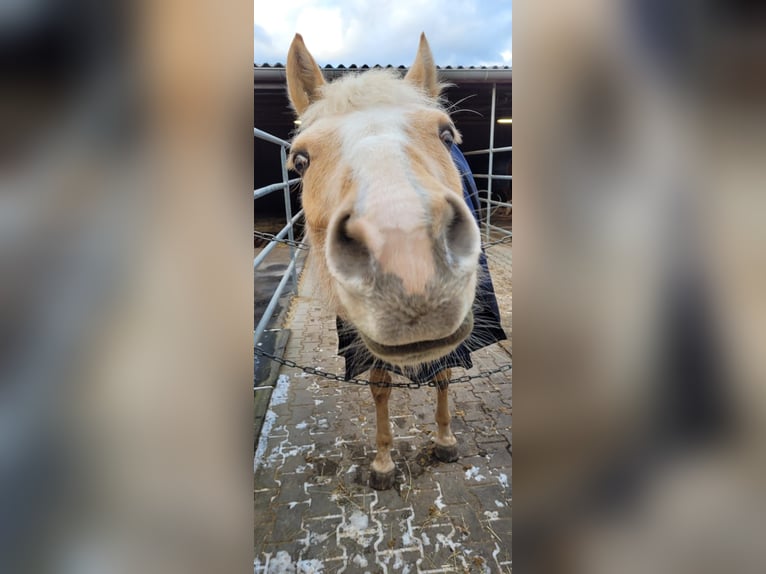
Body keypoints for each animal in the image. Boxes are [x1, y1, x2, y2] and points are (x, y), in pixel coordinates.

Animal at [285, 33, 493, 490]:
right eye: (301, 160)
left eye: (446, 135)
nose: (408, 258)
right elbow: (380, 387)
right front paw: (383, 462)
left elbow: (444, 373)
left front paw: (445, 440)